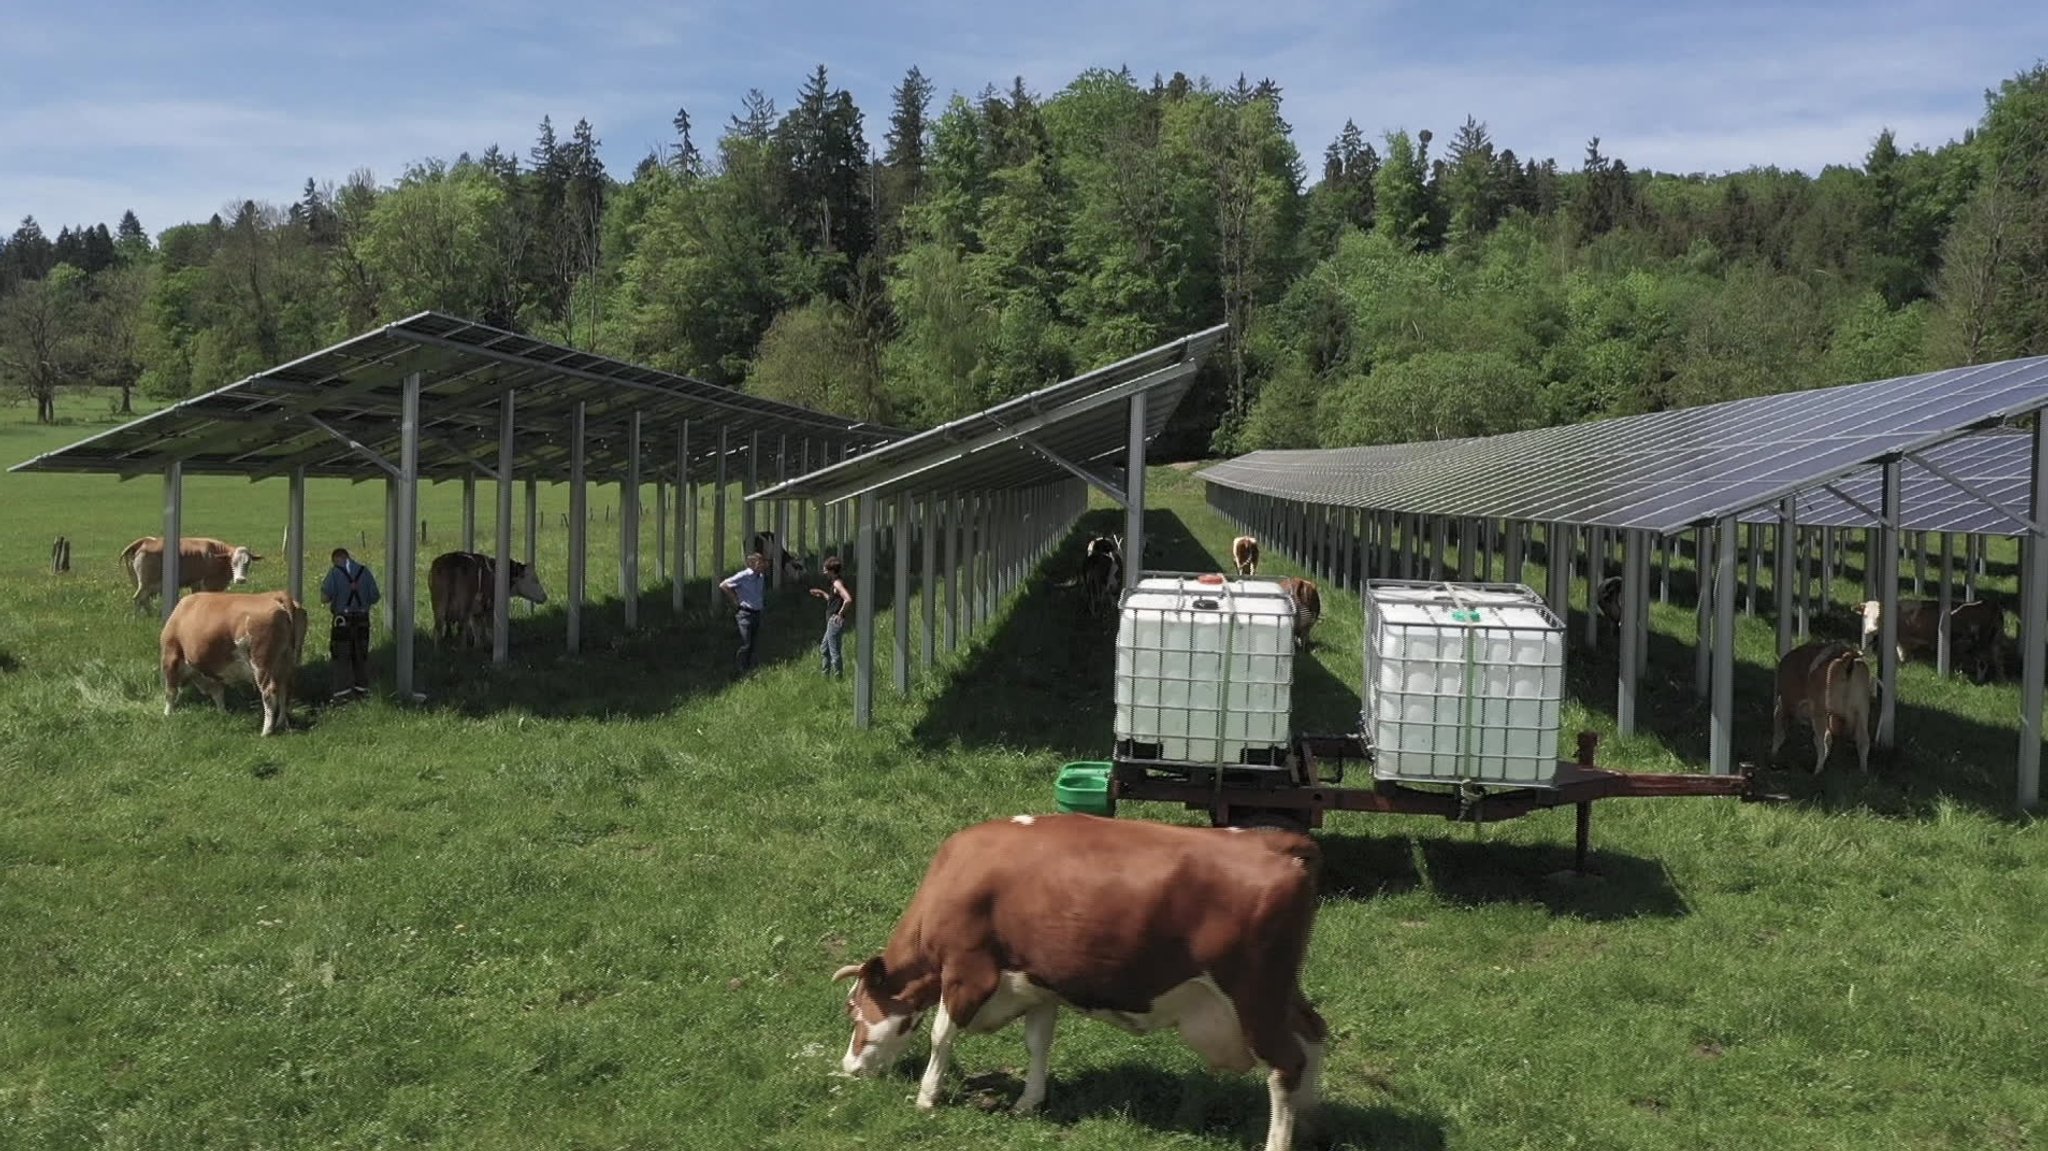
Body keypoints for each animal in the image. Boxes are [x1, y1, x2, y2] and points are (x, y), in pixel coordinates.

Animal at [119, 536, 260, 610]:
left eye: (248, 562)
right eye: (233, 562)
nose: (241, 579)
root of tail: (146, 541)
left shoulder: (196, 584)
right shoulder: (207, 583)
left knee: (144, 599)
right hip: (146, 583)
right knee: (138, 598)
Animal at [159, 585, 307, 737]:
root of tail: (277, 595)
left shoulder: (170, 655)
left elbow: (170, 691)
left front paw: (167, 714)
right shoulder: (214, 670)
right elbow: (218, 693)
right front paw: (223, 713)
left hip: (260, 662)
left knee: (269, 693)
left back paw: (266, 731)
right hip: (287, 660)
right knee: (285, 689)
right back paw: (281, 723)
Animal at [831, 811, 1327, 1138]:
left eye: (854, 1010)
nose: (848, 1067)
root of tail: (1275, 843)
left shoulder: (967, 971)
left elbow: (941, 1035)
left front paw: (927, 1095)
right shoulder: (1037, 984)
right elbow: (1037, 1043)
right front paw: (1029, 1101)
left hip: (1253, 995)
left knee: (1286, 1063)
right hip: (1282, 990)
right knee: (1313, 1033)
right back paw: (1310, 1117)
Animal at [1769, 634, 1875, 770]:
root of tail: (1847, 658)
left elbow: (1779, 733)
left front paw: (1773, 755)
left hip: (1821, 710)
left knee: (1823, 741)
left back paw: (1817, 771)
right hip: (1862, 710)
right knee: (1863, 741)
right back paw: (1863, 771)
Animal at [1867, 593, 2007, 675]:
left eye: (1878, 615)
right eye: (1866, 614)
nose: (1869, 630)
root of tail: (1990, 603)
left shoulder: (1903, 640)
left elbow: (1902, 655)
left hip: (1980, 644)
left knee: (1983, 664)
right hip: (1995, 642)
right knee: (1998, 662)